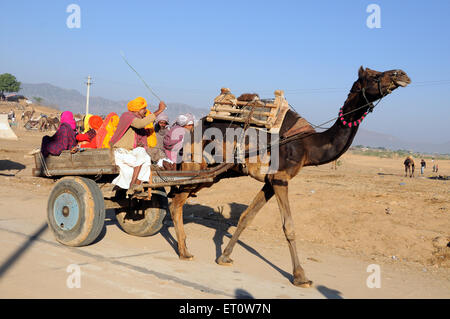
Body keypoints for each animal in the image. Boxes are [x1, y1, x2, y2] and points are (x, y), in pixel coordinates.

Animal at [167, 65, 410, 288]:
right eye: (374, 75)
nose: (402, 74)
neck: (308, 145)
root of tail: (191, 132)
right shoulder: (281, 178)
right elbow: (289, 227)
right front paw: (301, 276)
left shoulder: (270, 181)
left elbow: (246, 217)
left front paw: (224, 256)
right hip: (195, 166)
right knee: (175, 202)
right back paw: (185, 252)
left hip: (209, 175)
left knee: (176, 199)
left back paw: (184, 249)